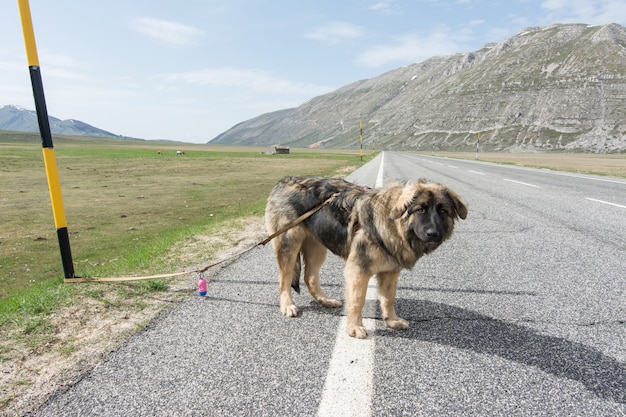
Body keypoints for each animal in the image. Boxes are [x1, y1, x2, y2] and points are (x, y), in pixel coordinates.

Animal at [262, 176, 464, 338]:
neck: (392, 223)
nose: (433, 234)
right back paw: (287, 305)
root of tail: (282, 182)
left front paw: (392, 320)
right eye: (420, 209)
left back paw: (324, 300)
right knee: (285, 278)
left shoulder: (390, 272)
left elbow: (389, 298)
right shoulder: (358, 270)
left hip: (317, 247)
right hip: (289, 244)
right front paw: (354, 327)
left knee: (310, 277)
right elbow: (357, 300)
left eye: (443, 211)